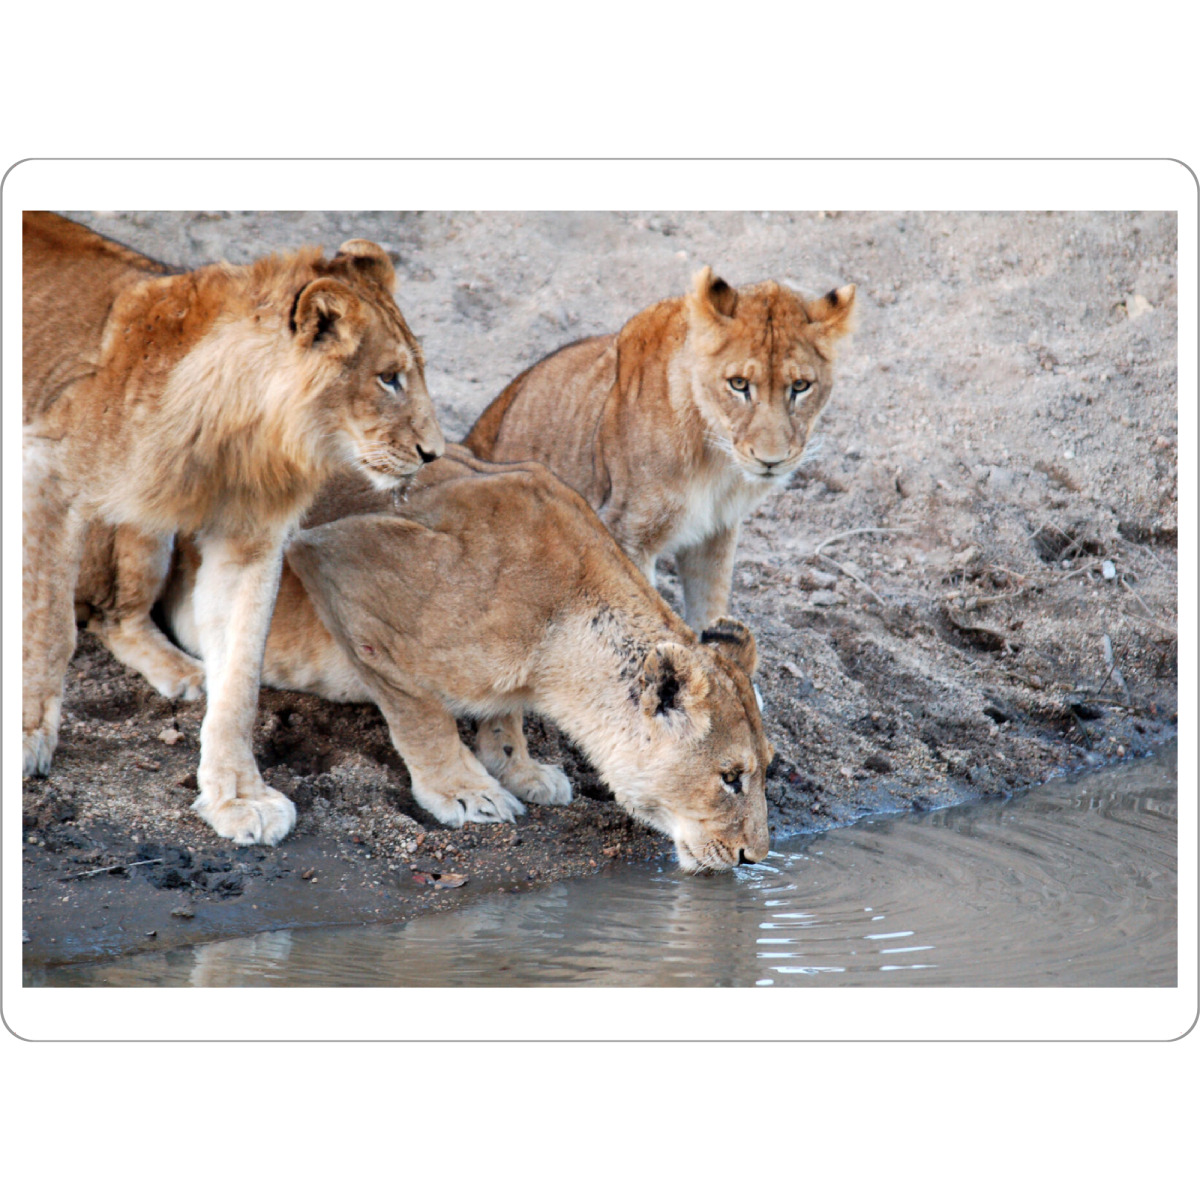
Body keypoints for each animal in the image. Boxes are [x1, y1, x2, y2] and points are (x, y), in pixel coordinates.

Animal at [23, 211, 446, 847]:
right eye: (389, 378)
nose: (434, 453)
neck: (243, 437)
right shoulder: (44, 474)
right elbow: (45, 630)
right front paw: (26, 737)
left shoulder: (248, 541)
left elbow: (242, 676)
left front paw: (239, 796)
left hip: (145, 530)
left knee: (114, 616)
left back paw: (184, 672)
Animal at [163, 447, 772, 871]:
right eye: (731, 778)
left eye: (766, 769)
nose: (756, 857)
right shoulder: (336, 560)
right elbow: (421, 714)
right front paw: (463, 791)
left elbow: (502, 715)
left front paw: (517, 768)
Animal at [464, 267, 856, 630]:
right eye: (739, 384)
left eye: (801, 386)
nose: (771, 461)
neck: (716, 462)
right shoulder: (625, 531)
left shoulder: (716, 531)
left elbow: (709, 607)